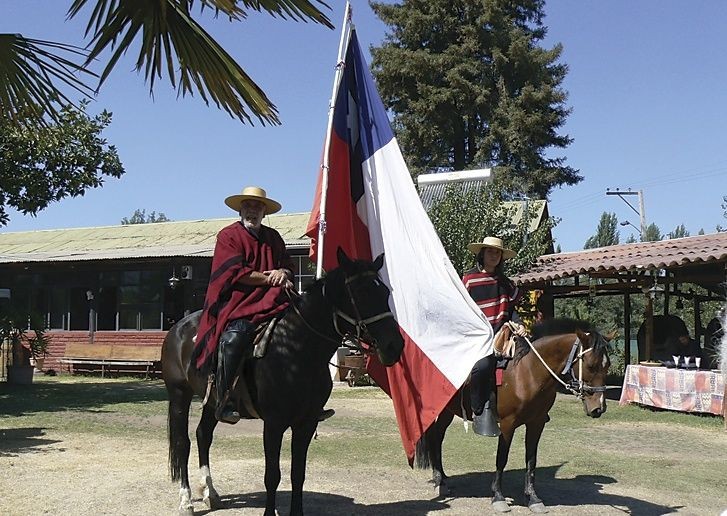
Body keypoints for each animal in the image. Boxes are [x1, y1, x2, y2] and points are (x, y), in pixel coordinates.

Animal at [161, 250, 406, 516]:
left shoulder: (306, 423)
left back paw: (211, 493)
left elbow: (298, 473)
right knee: (182, 443)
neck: (297, 350)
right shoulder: (274, 424)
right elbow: (272, 475)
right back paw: (186, 500)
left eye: (385, 293)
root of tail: (178, 327)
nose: (395, 346)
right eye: (361, 293)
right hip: (179, 394)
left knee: (203, 435)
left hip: (213, 402)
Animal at [412, 320, 612, 512]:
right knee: (434, 438)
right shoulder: (507, 425)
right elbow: (502, 458)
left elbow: (531, 460)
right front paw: (498, 497)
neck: (528, 373)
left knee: (437, 439)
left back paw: (443, 478)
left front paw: (532, 498)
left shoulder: (537, 423)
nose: (599, 408)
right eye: (591, 365)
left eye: (607, 366)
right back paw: (439, 481)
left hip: (447, 412)